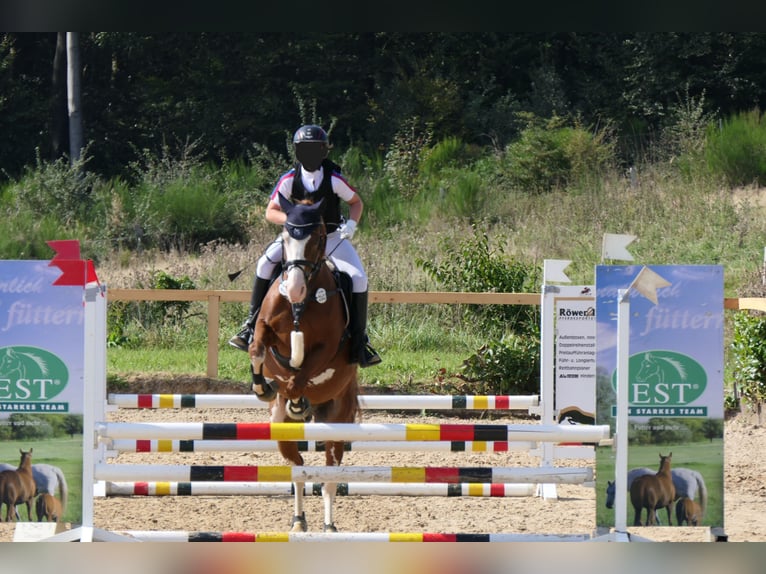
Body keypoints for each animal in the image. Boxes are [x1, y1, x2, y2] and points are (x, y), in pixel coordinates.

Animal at [249, 195, 364, 536]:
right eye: (286, 238)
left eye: (316, 239)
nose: (294, 289)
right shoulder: (265, 327)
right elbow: (257, 347)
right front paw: (263, 387)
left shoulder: (328, 347)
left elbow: (303, 370)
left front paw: (296, 394)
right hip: (282, 432)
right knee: (298, 469)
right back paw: (299, 520)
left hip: (338, 423)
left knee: (329, 477)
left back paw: (328, 525)